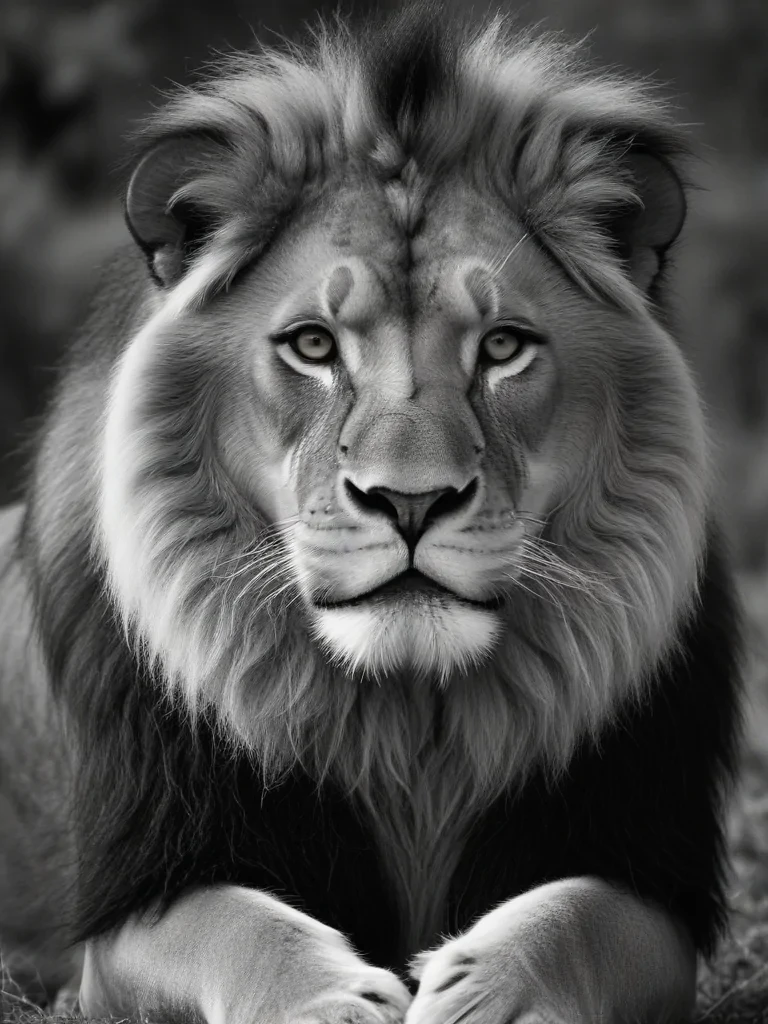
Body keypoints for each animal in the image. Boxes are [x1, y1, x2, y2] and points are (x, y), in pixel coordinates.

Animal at [0, 6, 743, 1024]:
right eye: (313, 346)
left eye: (503, 348)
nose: (412, 500)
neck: (408, 725)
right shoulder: (128, 909)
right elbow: (239, 927)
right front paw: (330, 1002)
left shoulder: (647, 873)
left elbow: (577, 919)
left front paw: (485, 995)